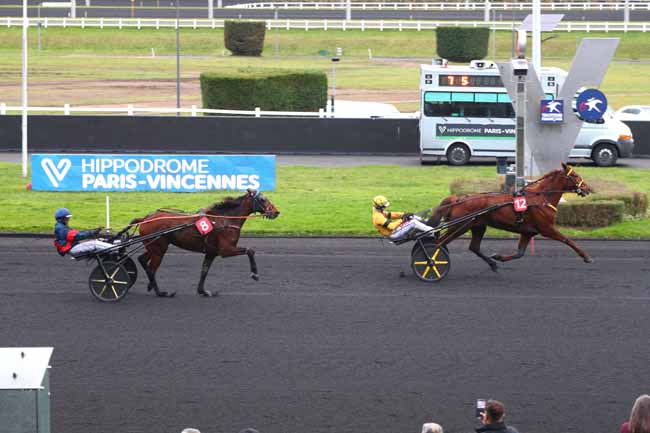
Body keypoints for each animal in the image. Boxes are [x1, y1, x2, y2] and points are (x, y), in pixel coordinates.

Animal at [129, 189, 278, 296]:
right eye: (262, 199)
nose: (276, 212)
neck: (225, 220)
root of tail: (145, 219)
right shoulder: (226, 250)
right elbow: (250, 250)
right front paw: (255, 274)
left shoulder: (211, 252)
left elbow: (204, 271)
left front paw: (203, 291)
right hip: (159, 248)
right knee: (152, 269)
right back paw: (160, 292)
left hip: (153, 247)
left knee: (142, 259)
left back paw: (151, 285)